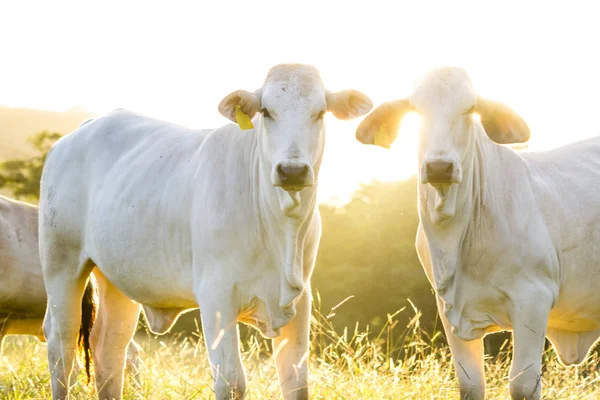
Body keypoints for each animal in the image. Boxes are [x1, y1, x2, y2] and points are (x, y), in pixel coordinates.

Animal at [38, 64, 370, 398]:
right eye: (266, 111)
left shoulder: (299, 300)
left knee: (109, 349)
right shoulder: (216, 296)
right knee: (61, 344)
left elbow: (296, 383)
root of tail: (83, 128)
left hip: (117, 280)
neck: (280, 230)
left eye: (320, 112)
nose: (292, 171)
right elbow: (232, 381)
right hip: (61, 265)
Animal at [356, 66, 600, 400]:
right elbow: (470, 384)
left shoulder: (533, 300)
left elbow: (523, 383)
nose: (440, 167)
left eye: (469, 109)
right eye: (416, 110)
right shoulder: (450, 310)